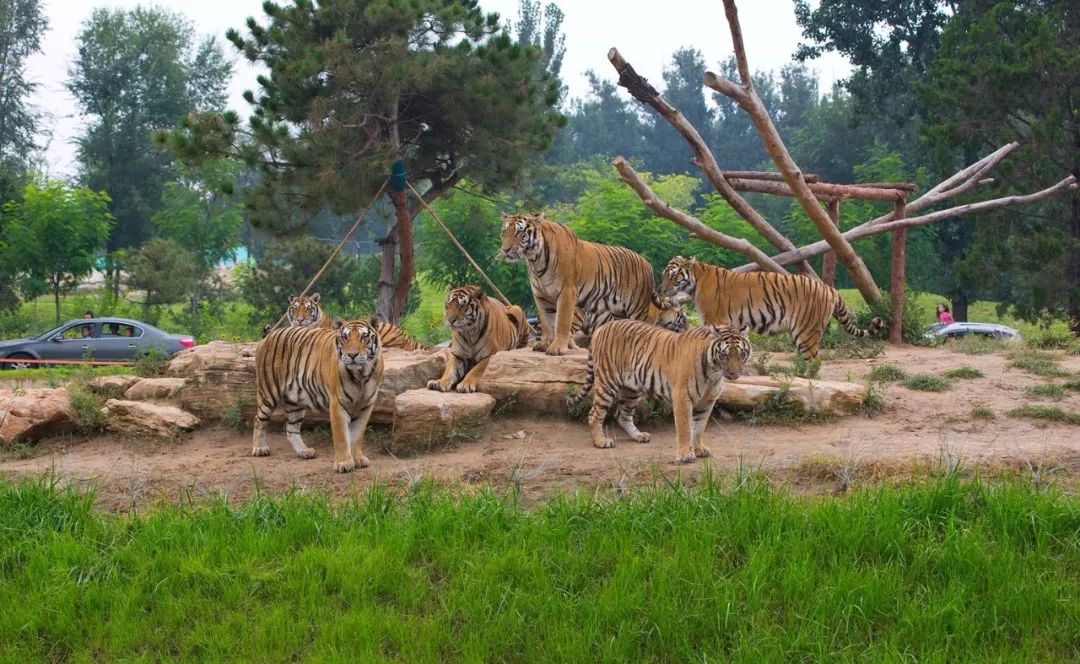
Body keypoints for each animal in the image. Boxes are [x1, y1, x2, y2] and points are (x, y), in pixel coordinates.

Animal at [250, 321, 386, 472]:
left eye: (364, 337)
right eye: (345, 337)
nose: (352, 355)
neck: (361, 375)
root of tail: (270, 333)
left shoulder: (366, 406)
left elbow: (357, 435)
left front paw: (358, 459)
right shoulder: (338, 404)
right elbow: (341, 436)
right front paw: (343, 464)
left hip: (295, 401)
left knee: (291, 429)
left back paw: (304, 451)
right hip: (268, 392)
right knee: (259, 419)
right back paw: (260, 448)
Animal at [496, 212, 648, 358]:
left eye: (519, 233)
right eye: (504, 232)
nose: (506, 250)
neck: (536, 260)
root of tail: (645, 262)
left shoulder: (567, 291)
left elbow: (562, 322)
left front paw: (557, 348)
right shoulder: (540, 295)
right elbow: (546, 322)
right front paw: (544, 344)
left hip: (638, 308)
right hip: (618, 312)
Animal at [565, 319, 751, 464]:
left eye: (741, 353)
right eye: (725, 355)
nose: (734, 374)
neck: (713, 372)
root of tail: (601, 328)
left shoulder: (707, 401)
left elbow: (699, 427)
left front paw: (699, 450)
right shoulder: (682, 396)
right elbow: (685, 427)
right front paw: (685, 455)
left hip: (632, 390)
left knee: (623, 415)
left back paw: (639, 436)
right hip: (607, 382)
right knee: (594, 413)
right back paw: (601, 441)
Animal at [656, 255, 885, 373]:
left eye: (673, 275)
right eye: (664, 274)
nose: (661, 289)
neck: (695, 280)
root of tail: (829, 288)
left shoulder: (715, 320)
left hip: (806, 331)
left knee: (814, 362)